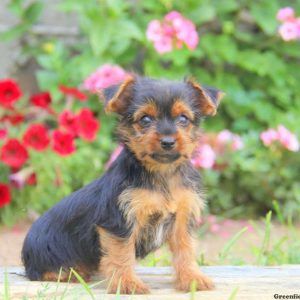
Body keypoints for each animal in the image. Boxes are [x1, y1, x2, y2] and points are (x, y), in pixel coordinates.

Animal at [21, 76, 223, 294]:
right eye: (145, 119)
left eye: (183, 118)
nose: (168, 141)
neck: (161, 173)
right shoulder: (119, 221)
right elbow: (121, 254)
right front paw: (127, 284)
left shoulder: (182, 219)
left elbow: (185, 250)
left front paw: (192, 278)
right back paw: (73, 274)